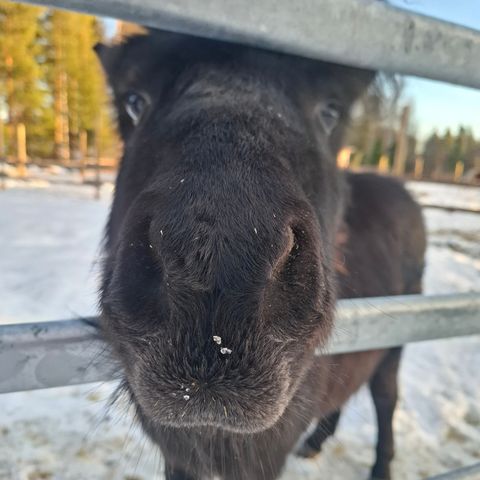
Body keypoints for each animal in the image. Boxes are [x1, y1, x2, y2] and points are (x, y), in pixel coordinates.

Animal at [95, 30, 426, 480]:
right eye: (134, 101)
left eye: (331, 111)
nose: (217, 266)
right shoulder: (178, 454)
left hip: (395, 346)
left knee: (386, 398)